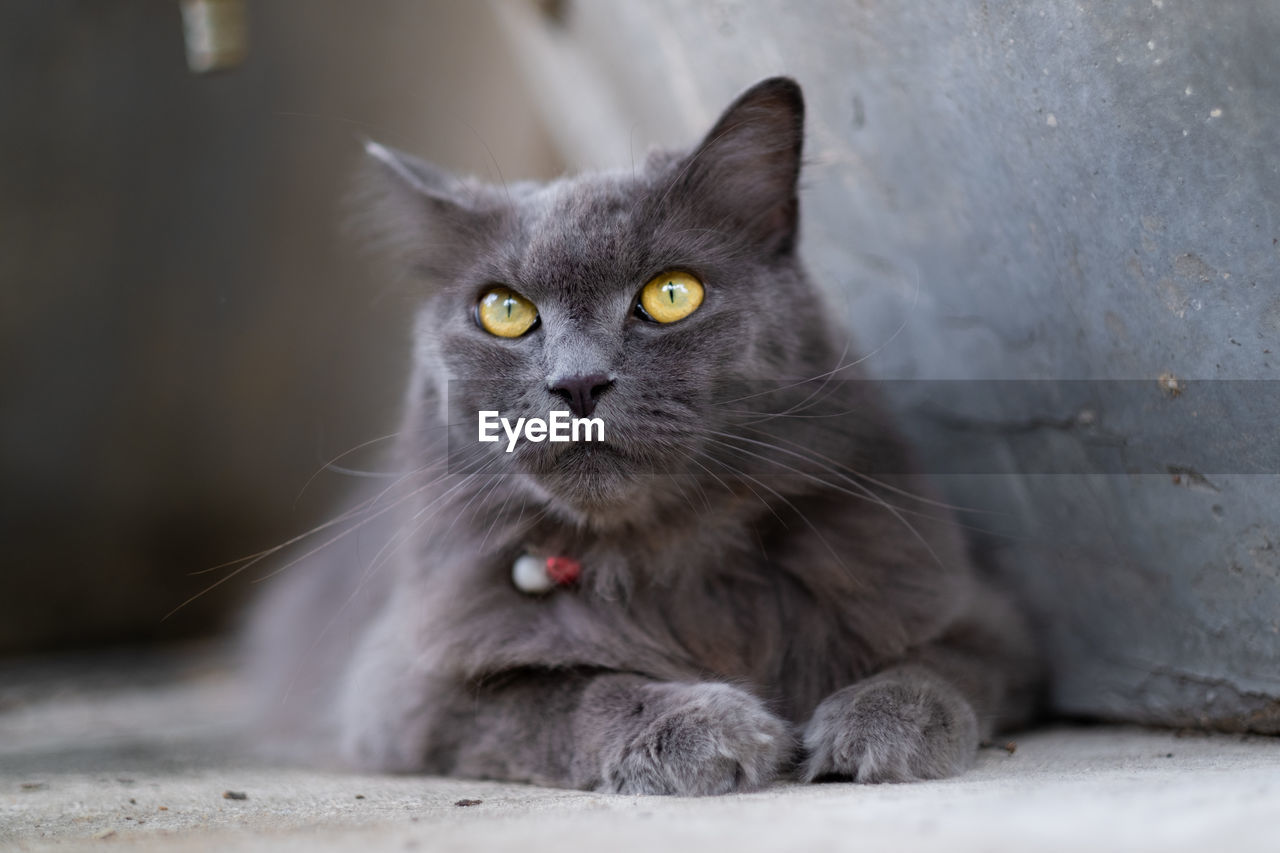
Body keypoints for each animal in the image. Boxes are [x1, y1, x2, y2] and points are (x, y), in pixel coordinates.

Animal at [244, 78, 1044, 788]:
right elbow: (569, 693)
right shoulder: (405, 689)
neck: (670, 559)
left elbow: (936, 667)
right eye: (503, 310)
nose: (577, 383)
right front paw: (709, 730)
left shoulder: (986, 617)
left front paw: (875, 727)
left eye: (671, 295)